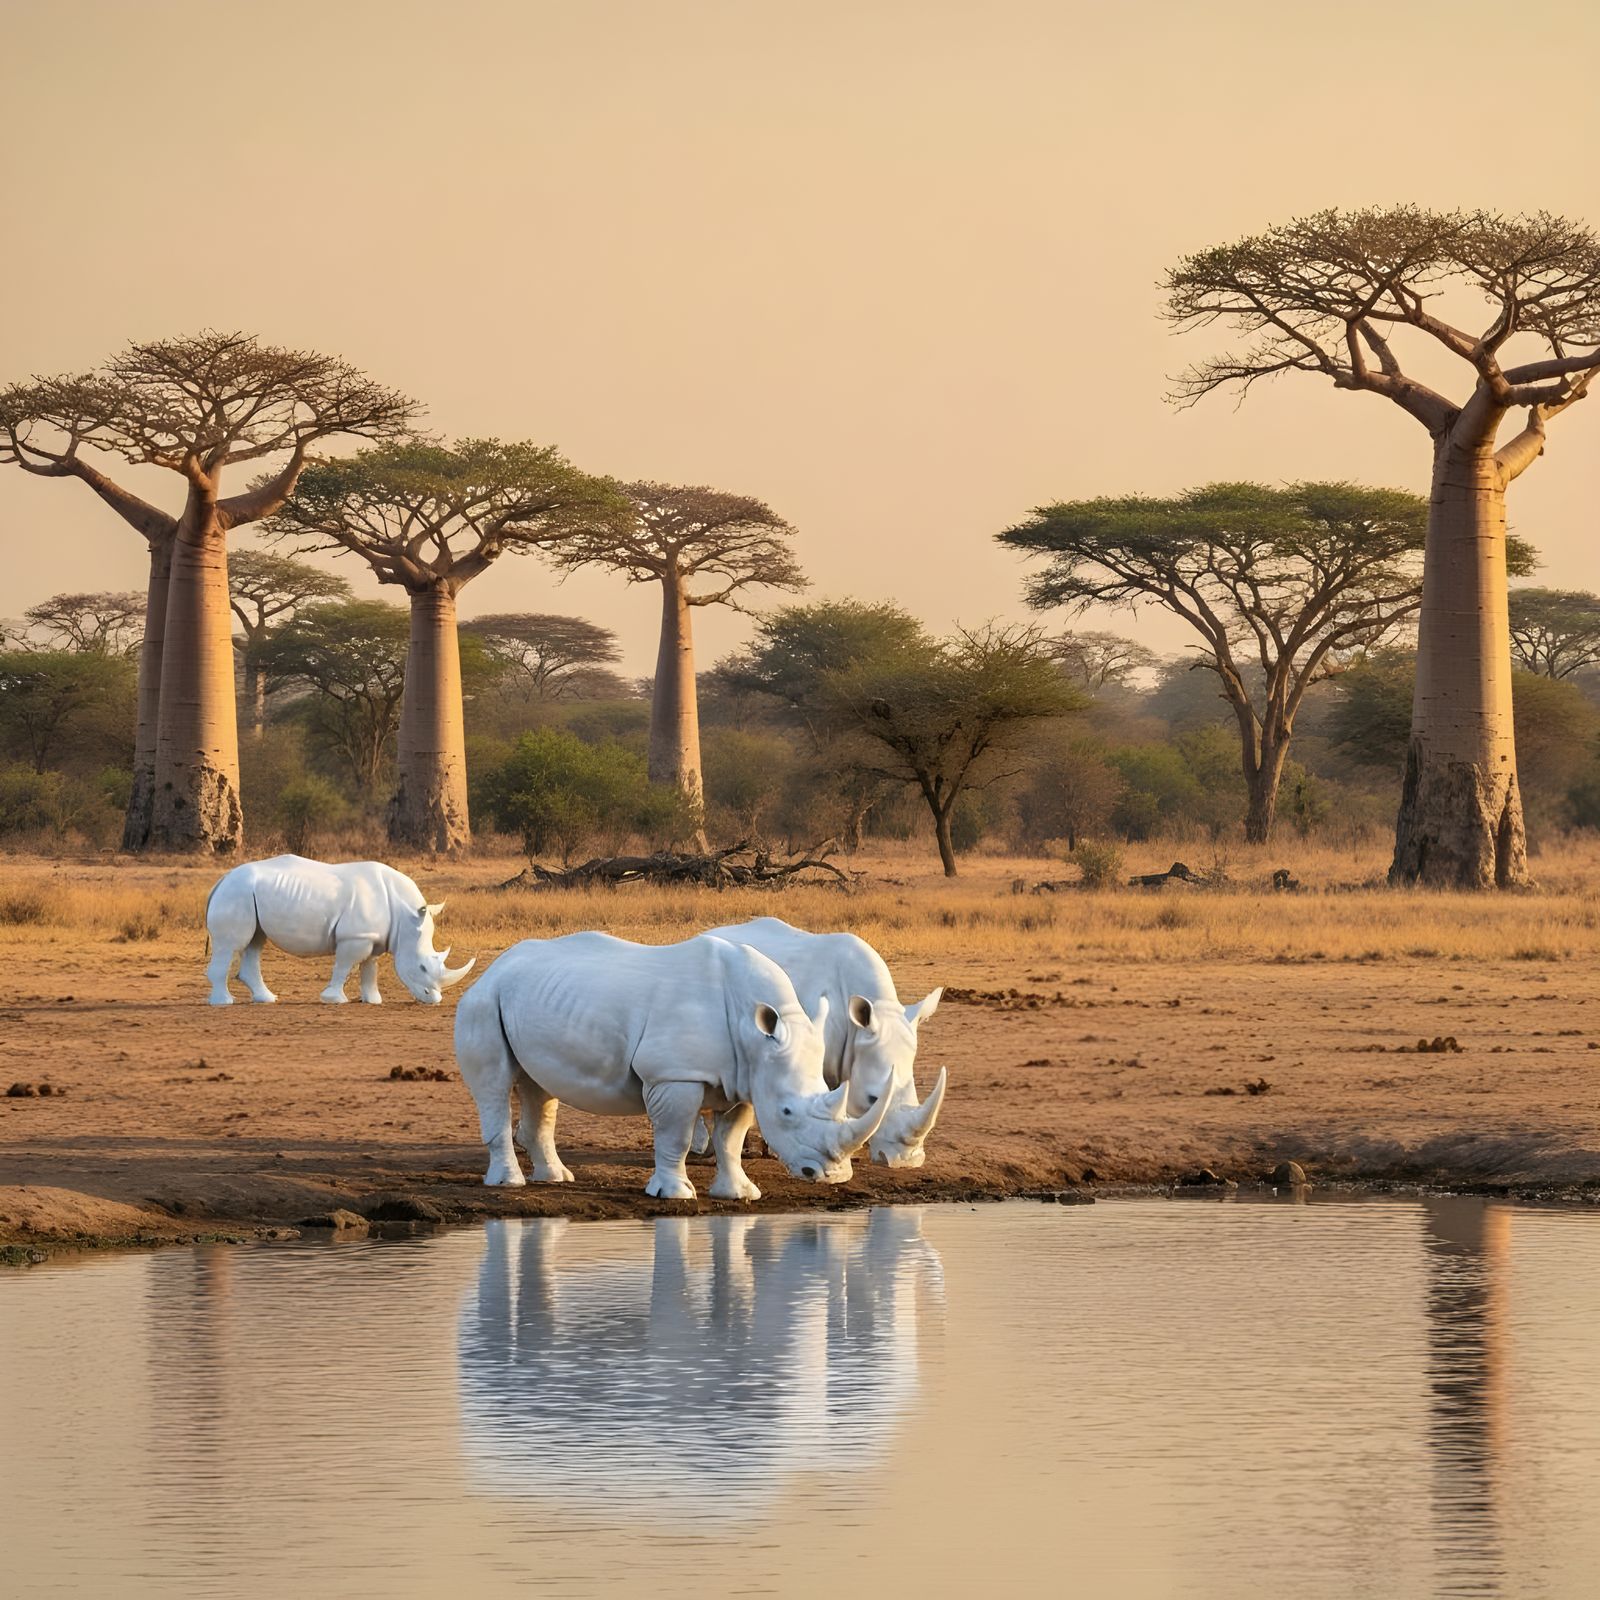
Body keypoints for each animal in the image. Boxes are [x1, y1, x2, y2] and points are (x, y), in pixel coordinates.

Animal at [204, 854, 475, 1007]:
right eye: (422, 967)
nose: (434, 1000)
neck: (404, 916)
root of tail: (222, 879)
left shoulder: (372, 937)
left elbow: (370, 968)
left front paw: (373, 1001)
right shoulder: (354, 937)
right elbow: (345, 965)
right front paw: (334, 999)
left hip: (247, 895)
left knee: (254, 943)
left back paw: (267, 1000)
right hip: (237, 893)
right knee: (231, 944)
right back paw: (223, 1003)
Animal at [454, 932, 888, 1199]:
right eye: (786, 1112)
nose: (832, 1176)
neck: (754, 1033)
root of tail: (494, 967)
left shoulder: (744, 1078)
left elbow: (730, 1138)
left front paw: (739, 1194)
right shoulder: (673, 1075)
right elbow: (675, 1135)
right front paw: (674, 1194)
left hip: (527, 998)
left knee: (539, 1089)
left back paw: (555, 1178)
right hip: (483, 1001)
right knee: (495, 1084)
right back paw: (509, 1185)